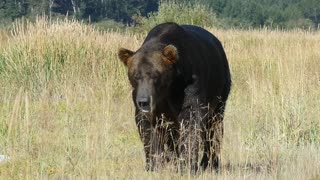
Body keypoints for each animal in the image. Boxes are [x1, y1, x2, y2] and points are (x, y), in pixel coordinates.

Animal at [117, 22, 230, 173]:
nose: (144, 101)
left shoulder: (189, 86)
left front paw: (187, 164)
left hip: (220, 90)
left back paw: (209, 163)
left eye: (155, 75)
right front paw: (153, 164)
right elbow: (147, 127)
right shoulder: (148, 101)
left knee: (214, 127)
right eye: (135, 76)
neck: (168, 88)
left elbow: (191, 121)